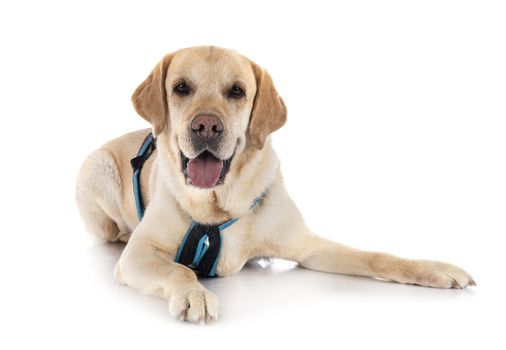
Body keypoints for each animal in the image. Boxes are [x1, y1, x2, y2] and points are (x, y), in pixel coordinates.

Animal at [75, 45, 474, 324]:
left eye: (237, 91)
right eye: (181, 88)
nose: (206, 126)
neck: (219, 202)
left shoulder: (307, 245)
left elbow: (375, 256)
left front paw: (435, 270)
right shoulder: (139, 254)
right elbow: (179, 268)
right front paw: (194, 294)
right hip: (97, 170)